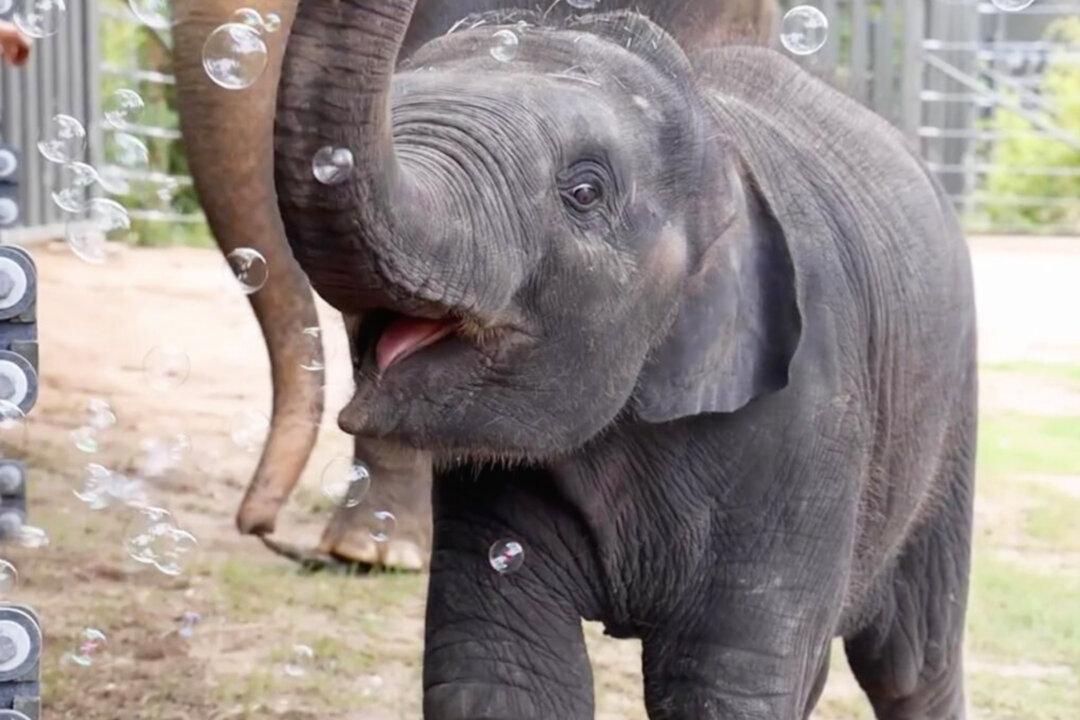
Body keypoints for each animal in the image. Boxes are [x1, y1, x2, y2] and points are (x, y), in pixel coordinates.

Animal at [174, 1, 977, 719]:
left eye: (584, 192)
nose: (262, 530)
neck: (719, 148)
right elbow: (502, 673)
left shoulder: (812, 419)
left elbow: (724, 684)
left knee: (913, 664)